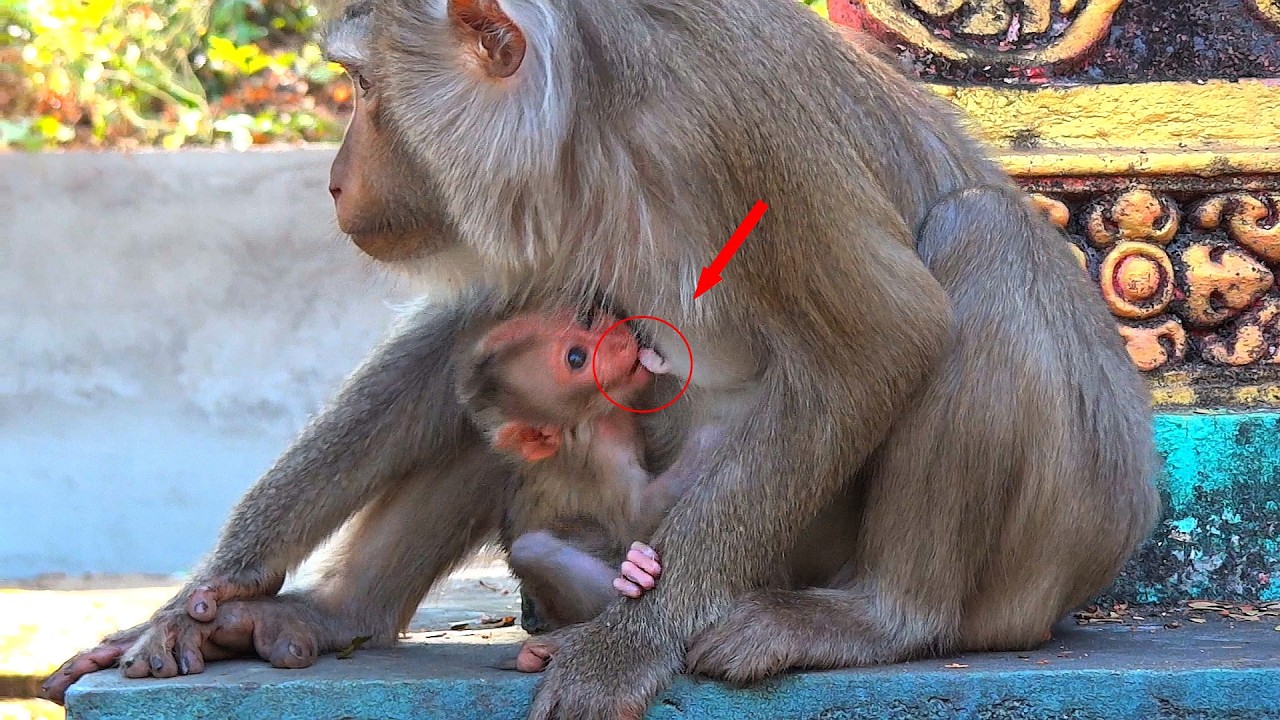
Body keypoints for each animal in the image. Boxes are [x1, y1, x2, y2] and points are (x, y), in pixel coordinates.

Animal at [454, 308, 679, 672]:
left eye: (582, 322)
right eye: (576, 358)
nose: (616, 329)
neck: (591, 417)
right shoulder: (599, 453)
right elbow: (637, 517)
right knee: (532, 550)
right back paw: (632, 575)